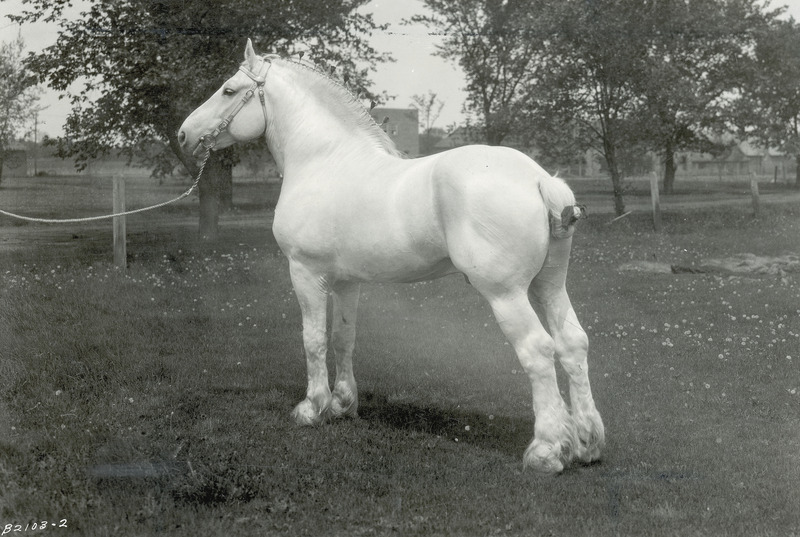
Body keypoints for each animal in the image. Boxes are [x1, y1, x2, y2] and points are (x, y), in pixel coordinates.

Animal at [178, 39, 604, 472]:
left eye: (228, 90)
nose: (184, 134)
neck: (324, 161)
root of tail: (540, 179)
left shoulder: (305, 272)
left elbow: (313, 339)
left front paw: (311, 408)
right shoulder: (346, 282)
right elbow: (342, 337)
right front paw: (342, 404)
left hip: (506, 293)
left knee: (538, 351)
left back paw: (546, 451)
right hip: (548, 285)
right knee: (573, 343)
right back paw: (586, 444)